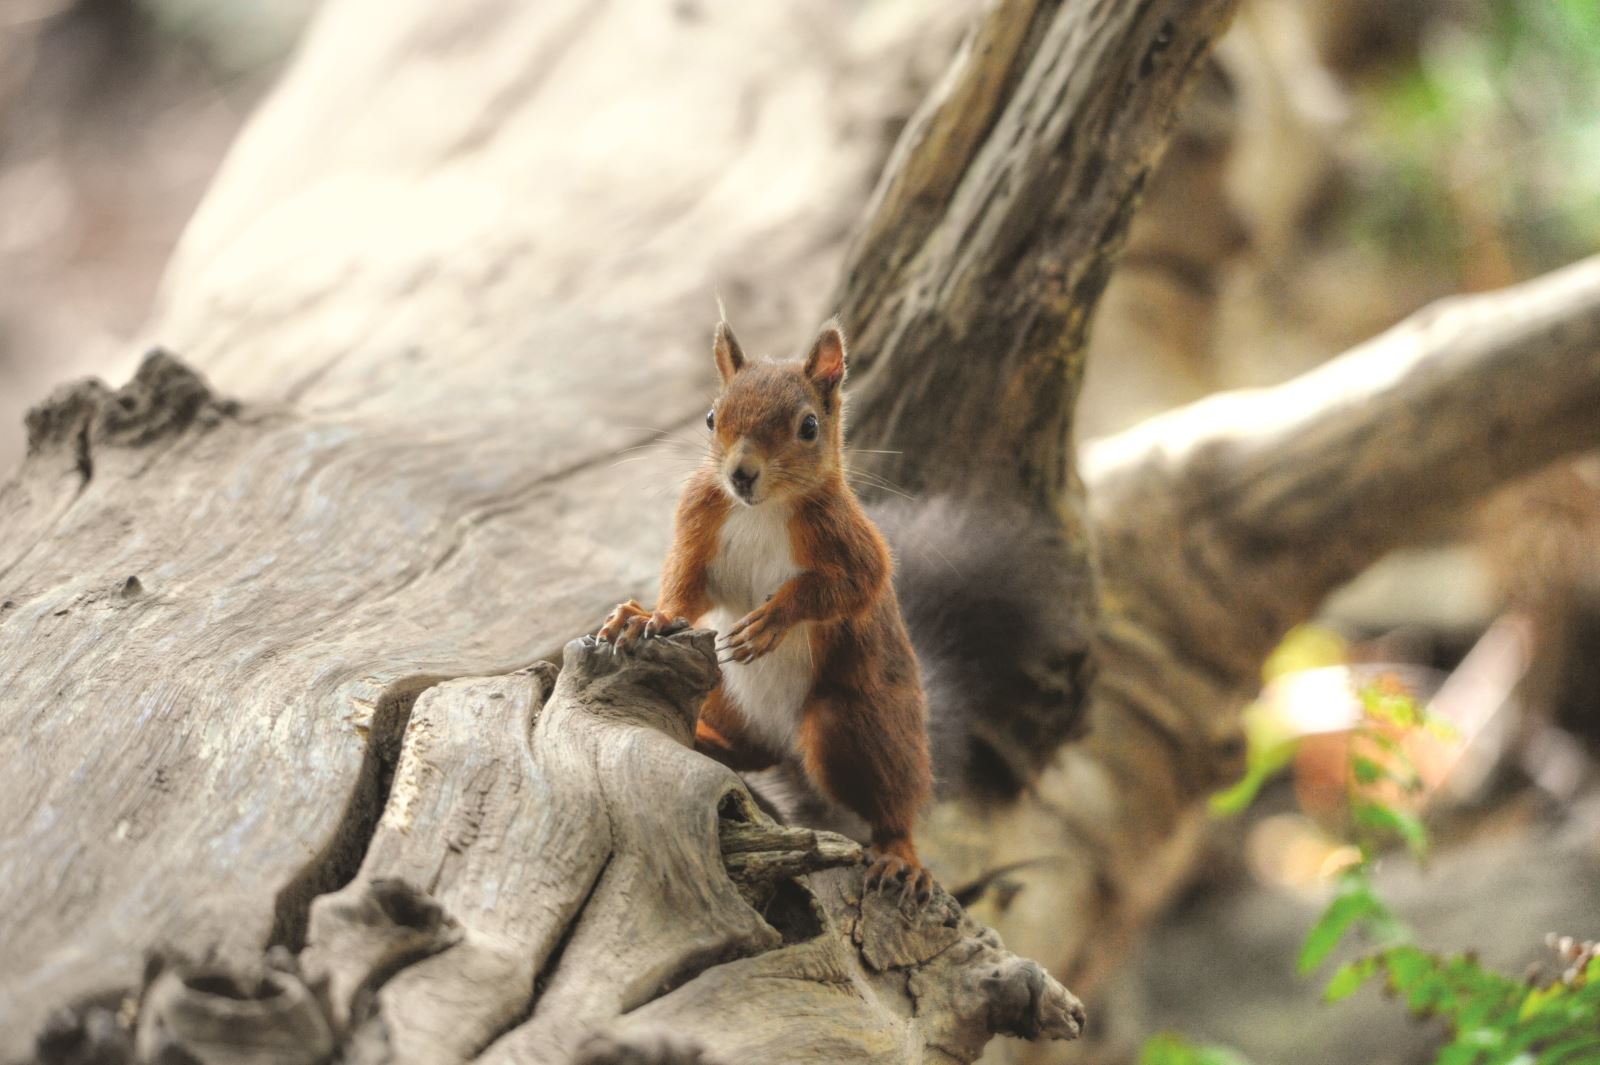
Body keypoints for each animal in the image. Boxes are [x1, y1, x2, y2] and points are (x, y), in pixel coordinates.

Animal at [598, 315, 934, 895]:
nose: (741, 473)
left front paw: (772, 619)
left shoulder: (851, 542)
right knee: (746, 752)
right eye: (712, 417)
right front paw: (649, 616)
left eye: (809, 427)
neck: (761, 508)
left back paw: (899, 853)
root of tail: (784, 744)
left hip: (858, 724)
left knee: (892, 796)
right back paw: (703, 738)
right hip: (724, 699)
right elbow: (685, 585)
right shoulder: (700, 521)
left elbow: (852, 586)